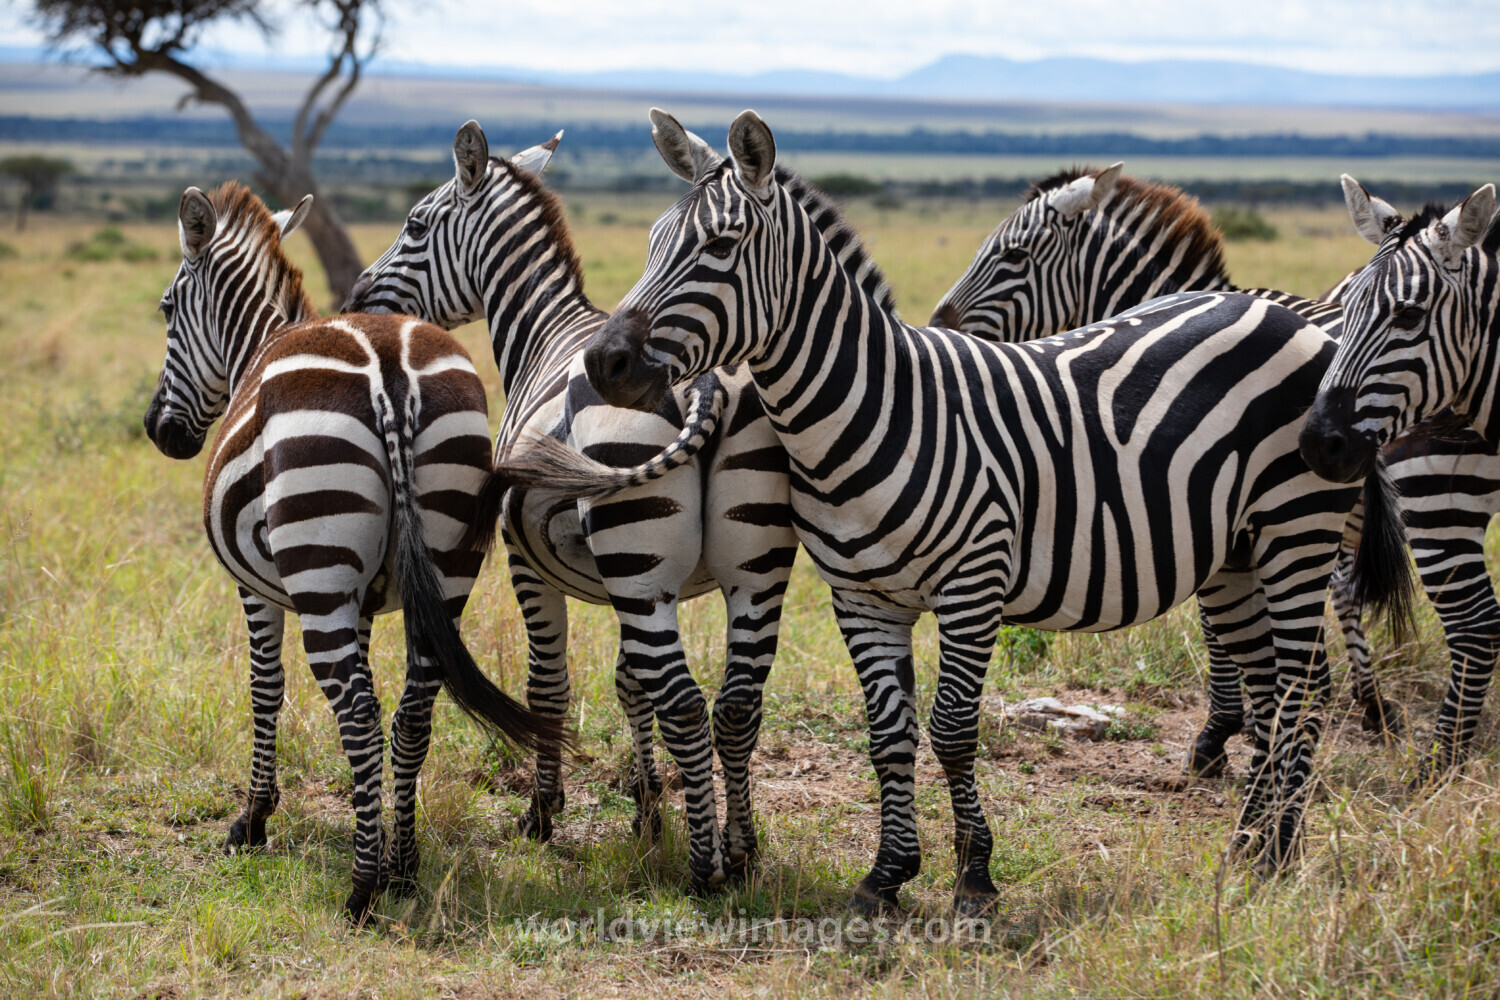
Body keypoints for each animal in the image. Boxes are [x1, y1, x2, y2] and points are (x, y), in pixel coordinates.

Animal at [141, 182, 566, 922]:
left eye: (167, 308)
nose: (158, 431)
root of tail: (388, 371)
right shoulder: (363, 596)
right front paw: (368, 816)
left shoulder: (258, 588)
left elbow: (265, 686)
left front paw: (252, 819)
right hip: (448, 554)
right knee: (411, 711)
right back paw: (403, 866)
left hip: (317, 565)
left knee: (363, 714)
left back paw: (363, 887)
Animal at [342, 121, 801, 891]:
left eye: (415, 224)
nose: (356, 296)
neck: (542, 334)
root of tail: (708, 382)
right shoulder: (637, 584)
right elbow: (630, 682)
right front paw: (647, 811)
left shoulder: (530, 565)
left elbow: (549, 688)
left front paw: (542, 813)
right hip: (753, 569)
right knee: (736, 704)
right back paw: (742, 850)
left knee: (688, 703)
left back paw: (706, 868)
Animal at [497, 110, 1414, 913]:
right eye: (653, 240)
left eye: (720, 245)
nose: (606, 365)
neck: (869, 407)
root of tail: (1285, 313)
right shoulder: (861, 598)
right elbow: (888, 733)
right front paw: (886, 875)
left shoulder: (975, 586)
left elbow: (951, 730)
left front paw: (973, 875)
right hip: (1233, 552)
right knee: (1264, 682)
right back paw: (1250, 842)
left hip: (1297, 530)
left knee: (1300, 685)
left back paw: (1280, 847)